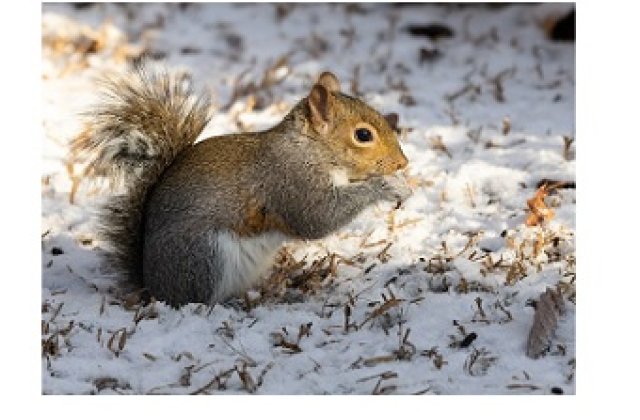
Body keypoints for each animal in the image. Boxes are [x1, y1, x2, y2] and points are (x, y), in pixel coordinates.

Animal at [74, 66, 410, 308]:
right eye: (363, 135)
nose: (402, 163)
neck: (311, 150)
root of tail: (151, 285)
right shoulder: (290, 182)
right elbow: (318, 219)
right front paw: (386, 187)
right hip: (203, 255)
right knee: (194, 299)